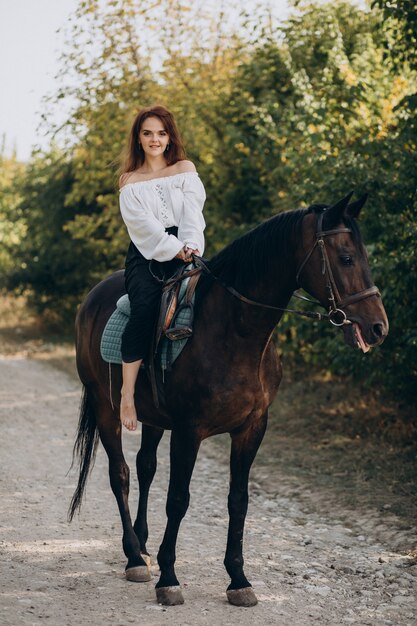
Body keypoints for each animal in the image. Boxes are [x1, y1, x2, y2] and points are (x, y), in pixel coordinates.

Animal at [67, 191, 386, 604]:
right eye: (346, 257)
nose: (378, 327)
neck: (231, 332)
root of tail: (91, 299)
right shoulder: (189, 431)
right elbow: (178, 499)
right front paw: (169, 579)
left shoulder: (252, 429)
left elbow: (238, 500)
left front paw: (238, 579)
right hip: (106, 409)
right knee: (119, 474)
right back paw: (134, 557)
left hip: (152, 418)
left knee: (145, 467)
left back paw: (143, 544)